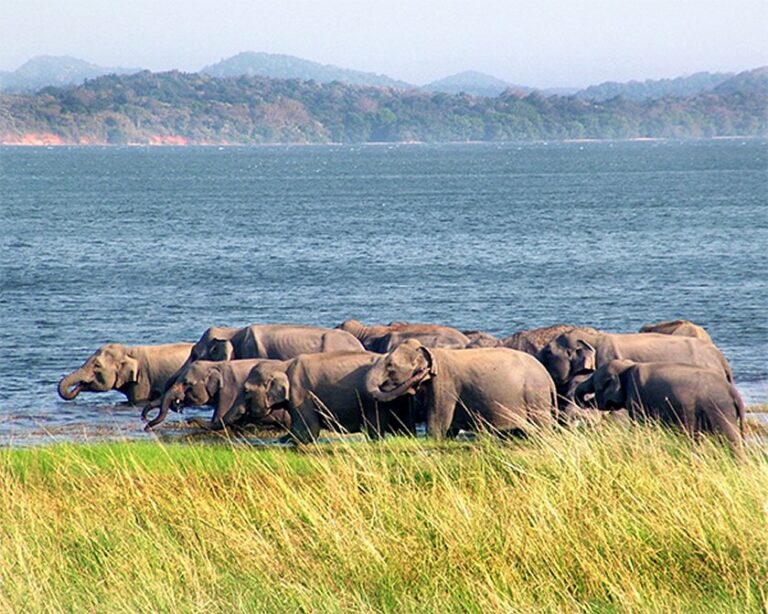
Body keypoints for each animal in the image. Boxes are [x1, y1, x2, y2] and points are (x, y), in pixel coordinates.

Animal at [240, 351, 415, 444]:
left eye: (246, 390)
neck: (282, 365)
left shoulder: (300, 393)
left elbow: (308, 429)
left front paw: (286, 440)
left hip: (374, 401)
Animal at [366, 340, 558, 439]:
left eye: (390, 365)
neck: (432, 352)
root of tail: (549, 378)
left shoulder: (444, 383)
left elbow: (438, 419)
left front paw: (433, 439)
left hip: (535, 397)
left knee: (541, 426)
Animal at [574, 360, 745, 457]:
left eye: (598, 386)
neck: (627, 366)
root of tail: (734, 392)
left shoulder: (637, 397)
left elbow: (639, 426)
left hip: (720, 410)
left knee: (731, 440)